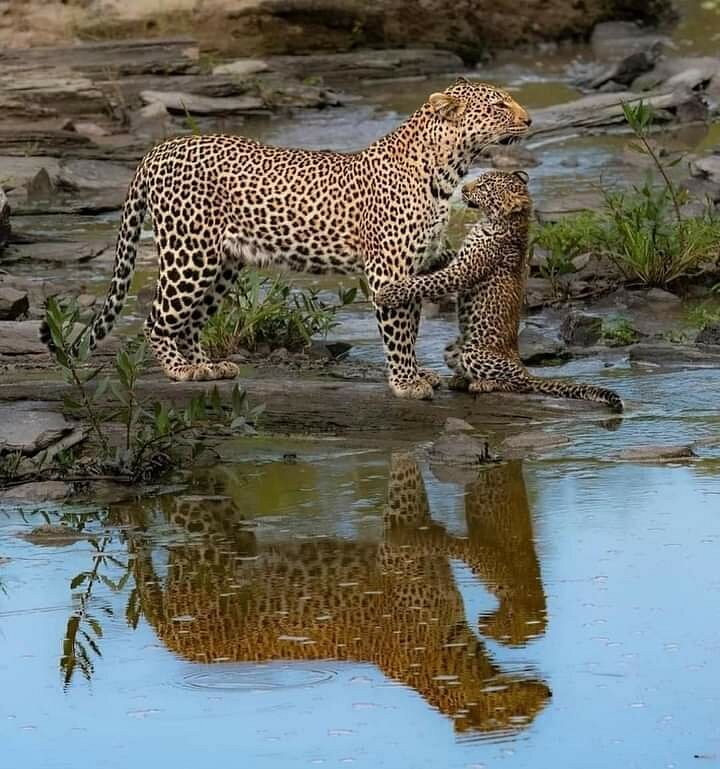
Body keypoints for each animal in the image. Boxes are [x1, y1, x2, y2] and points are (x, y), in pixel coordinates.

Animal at [39, 79, 531, 400]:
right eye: (498, 106)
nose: (528, 119)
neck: (448, 169)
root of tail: (159, 149)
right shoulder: (387, 267)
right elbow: (398, 327)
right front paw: (405, 382)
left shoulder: (415, 265)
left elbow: (410, 322)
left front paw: (415, 375)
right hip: (189, 251)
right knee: (158, 317)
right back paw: (179, 370)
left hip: (222, 262)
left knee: (192, 320)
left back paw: (206, 366)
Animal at [123, 455, 550, 734]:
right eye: (518, 715)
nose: (548, 696)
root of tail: (178, 643)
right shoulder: (400, 531)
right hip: (204, 538)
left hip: (228, 525)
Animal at [374, 170, 624, 412]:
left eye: (484, 187)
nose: (463, 189)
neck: (497, 222)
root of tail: (523, 368)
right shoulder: (457, 262)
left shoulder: (463, 271)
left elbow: (428, 282)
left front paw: (390, 292)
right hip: (452, 349)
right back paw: (461, 380)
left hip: (475, 353)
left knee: (516, 384)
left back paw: (483, 384)